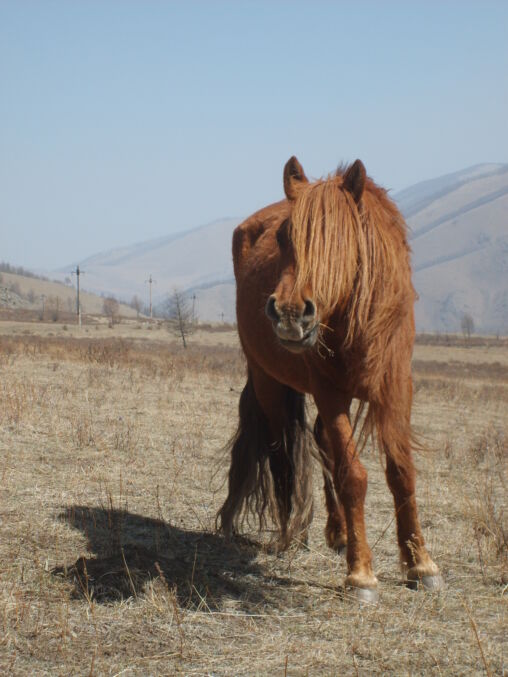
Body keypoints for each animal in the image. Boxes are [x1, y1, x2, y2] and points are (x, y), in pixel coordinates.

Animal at [216, 156, 442, 600]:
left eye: (340, 239)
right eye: (283, 237)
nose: (289, 313)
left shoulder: (395, 388)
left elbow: (401, 471)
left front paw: (420, 564)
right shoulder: (329, 392)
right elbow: (352, 475)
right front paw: (361, 574)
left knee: (319, 441)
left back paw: (338, 533)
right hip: (268, 383)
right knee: (282, 454)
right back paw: (294, 533)